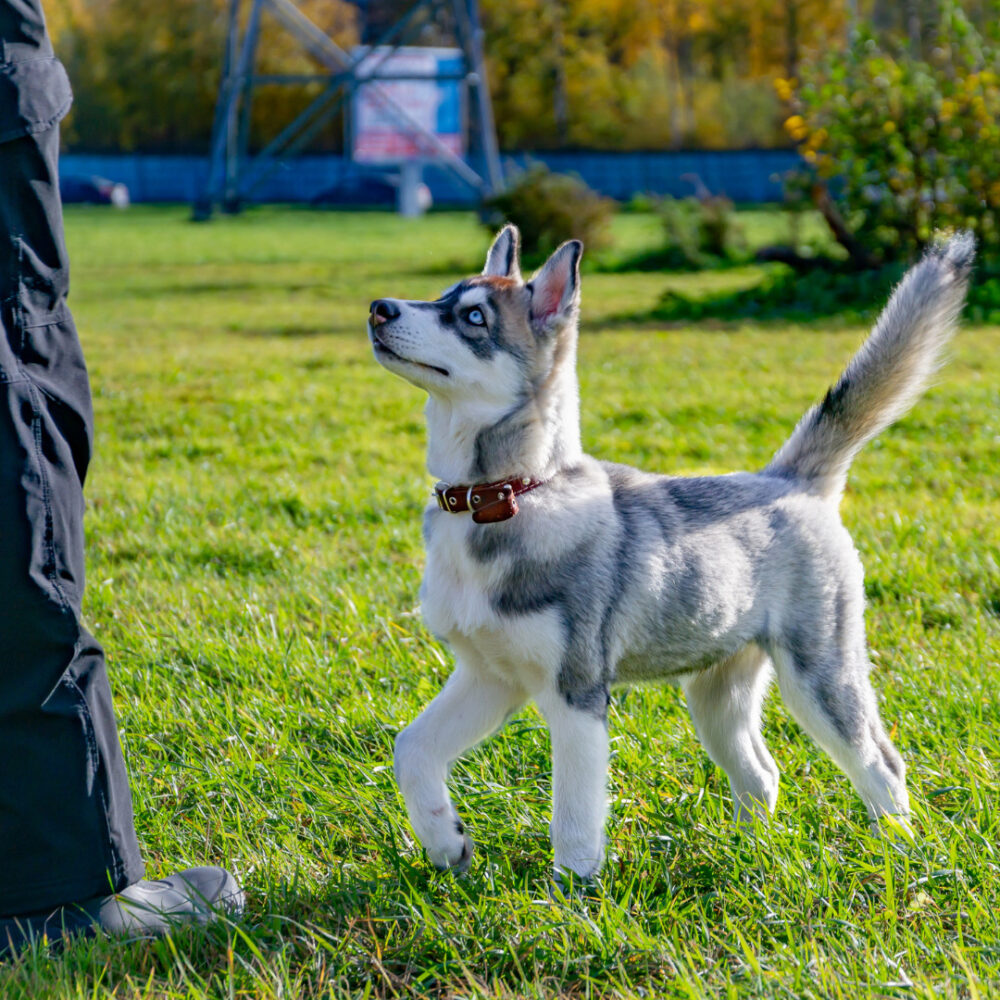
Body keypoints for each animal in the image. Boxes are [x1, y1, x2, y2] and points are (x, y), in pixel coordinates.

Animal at [368, 229, 968, 884]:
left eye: (474, 317)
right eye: (441, 296)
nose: (379, 308)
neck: (503, 497)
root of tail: (787, 480)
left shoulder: (576, 692)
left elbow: (574, 818)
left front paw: (569, 895)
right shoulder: (489, 676)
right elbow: (411, 748)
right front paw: (444, 841)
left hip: (821, 673)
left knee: (882, 763)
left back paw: (901, 855)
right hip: (717, 692)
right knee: (762, 773)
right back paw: (751, 858)